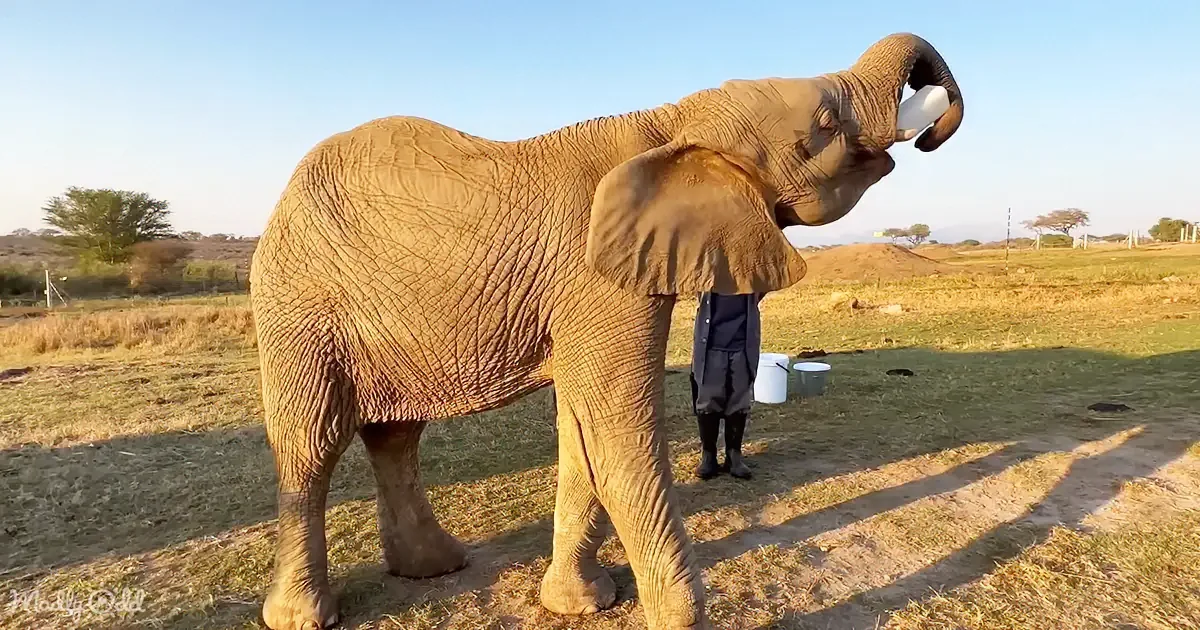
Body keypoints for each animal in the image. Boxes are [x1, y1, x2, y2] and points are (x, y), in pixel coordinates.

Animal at [250, 32, 963, 630]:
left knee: (395, 435)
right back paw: (305, 616)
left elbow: (583, 437)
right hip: (297, 301)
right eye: (824, 126)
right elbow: (615, 436)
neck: (674, 121)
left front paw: (584, 602)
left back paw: (432, 568)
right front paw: (678, 617)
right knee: (310, 445)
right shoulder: (597, 277)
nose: (933, 126)